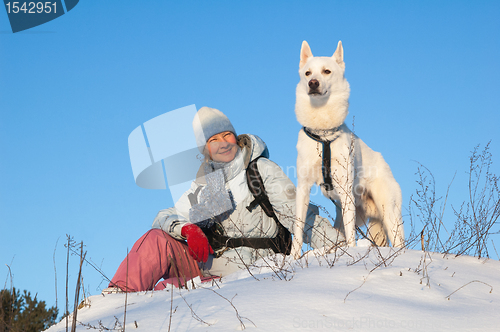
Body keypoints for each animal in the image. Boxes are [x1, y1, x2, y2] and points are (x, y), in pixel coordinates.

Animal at [292, 40, 404, 260]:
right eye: (308, 73)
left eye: (326, 71)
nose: (313, 83)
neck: (323, 134)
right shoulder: (303, 188)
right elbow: (298, 229)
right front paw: (291, 259)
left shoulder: (345, 190)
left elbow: (351, 234)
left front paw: (351, 253)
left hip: (388, 213)